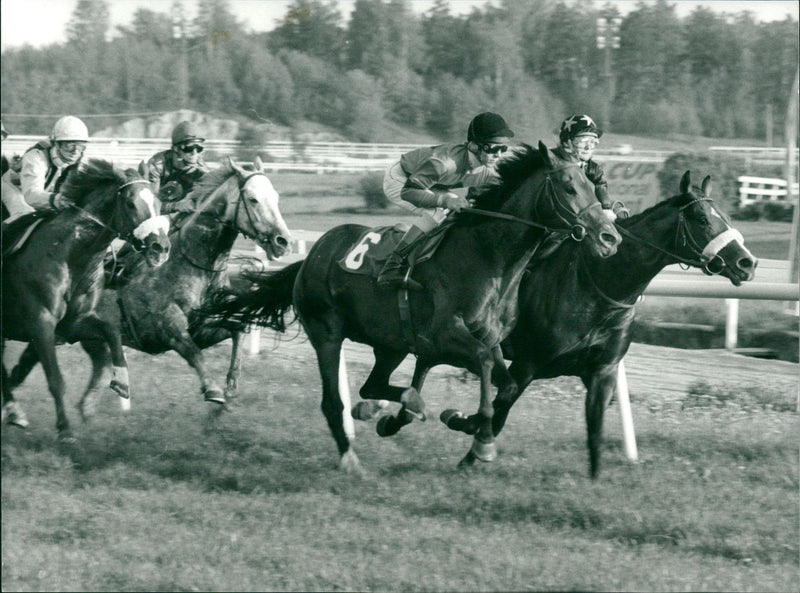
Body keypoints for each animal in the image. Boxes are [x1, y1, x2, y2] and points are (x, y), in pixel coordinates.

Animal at [1, 160, 170, 438]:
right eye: (130, 203)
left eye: (158, 201)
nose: (161, 248)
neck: (70, 254)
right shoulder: (41, 323)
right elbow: (55, 379)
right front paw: (65, 429)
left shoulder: (73, 323)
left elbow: (111, 331)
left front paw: (120, 384)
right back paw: (14, 409)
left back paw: (13, 409)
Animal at [203, 143, 620, 472]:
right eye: (569, 187)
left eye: (593, 186)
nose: (609, 236)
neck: (489, 259)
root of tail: (313, 254)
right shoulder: (446, 337)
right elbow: (486, 366)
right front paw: (481, 442)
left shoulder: (486, 341)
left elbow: (507, 380)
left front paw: (463, 427)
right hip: (327, 331)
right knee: (333, 401)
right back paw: (352, 458)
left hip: (391, 343)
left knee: (373, 385)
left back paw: (388, 409)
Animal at [438, 170, 756, 476]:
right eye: (701, 219)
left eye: (727, 217)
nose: (747, 263)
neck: (597, 285)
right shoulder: (528, 363)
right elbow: (499, 410)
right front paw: (466, 439)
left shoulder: (602, 370)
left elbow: (595, 430)